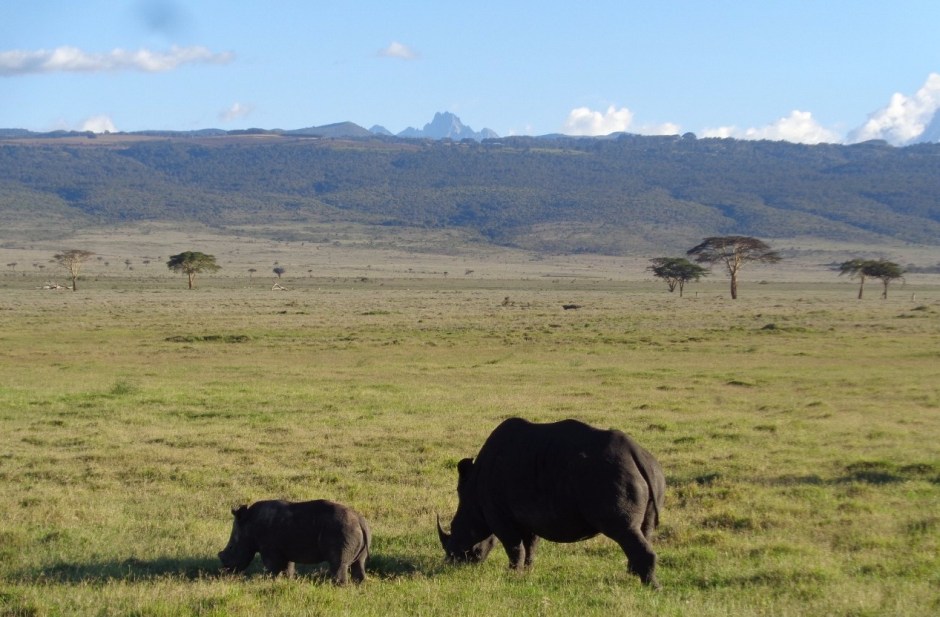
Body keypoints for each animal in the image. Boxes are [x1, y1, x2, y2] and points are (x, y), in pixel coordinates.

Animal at [218, 499, 371, 585]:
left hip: (342, 529)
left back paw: (338, 587)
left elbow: (271, 567)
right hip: (354, 530)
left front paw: (267, 580)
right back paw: (359, 587)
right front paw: (288, 581)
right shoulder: (285, 549)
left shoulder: (269, 549)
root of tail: (360, 521)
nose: (225, 571)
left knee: (338, 563)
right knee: (359, 563)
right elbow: (288, 567)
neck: (249, 523)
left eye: (231, 547)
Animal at [437, 417, 665, 587]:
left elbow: (513, 547)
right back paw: (633, 576)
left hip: (610, 475)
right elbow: (530, 545)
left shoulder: (500, 516)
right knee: (643, 529)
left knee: (624, 529)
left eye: (455, 527)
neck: (473, 499)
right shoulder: (529, 514)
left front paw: (512, 574)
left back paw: (651, 587)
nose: (451, 562)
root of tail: (637, 455)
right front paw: (527, 571)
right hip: (651, 472)